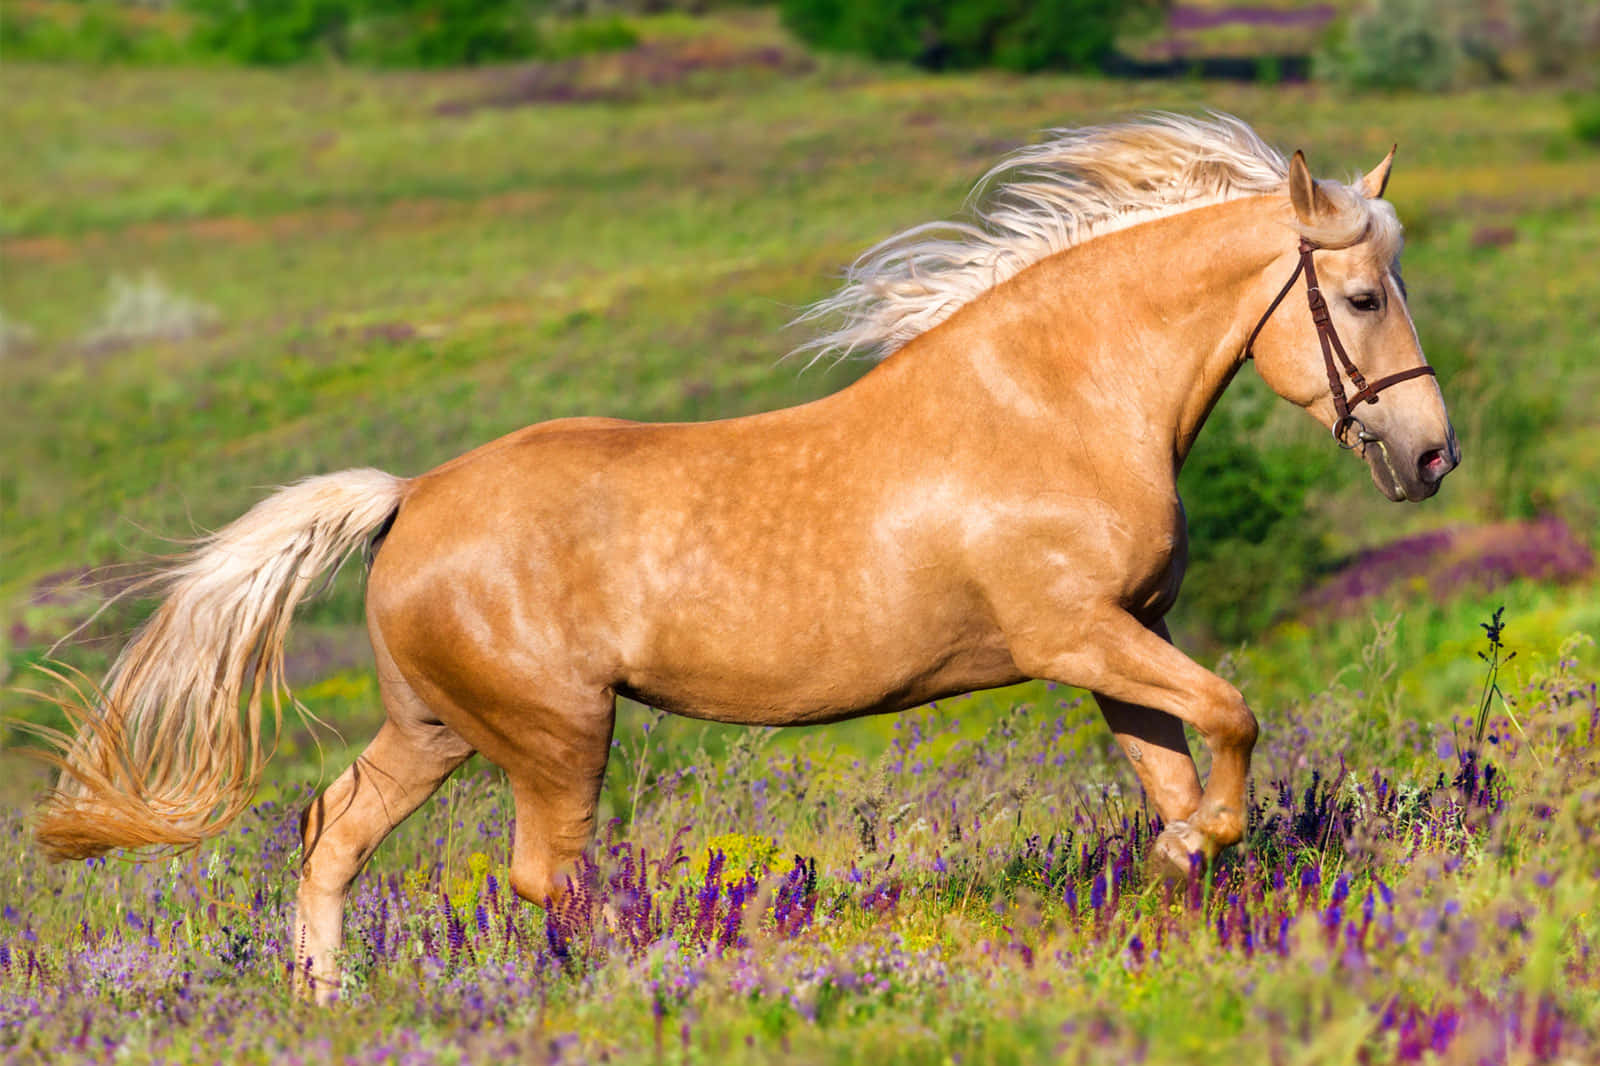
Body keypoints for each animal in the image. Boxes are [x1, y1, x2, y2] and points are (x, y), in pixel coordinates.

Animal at [28, 114, 1457, 1002]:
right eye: (1362, 296)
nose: (1430, 455)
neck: (1056, 402)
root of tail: (410, 498)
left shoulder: (1120, 644)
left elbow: (1178, 769)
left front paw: (1173, 890)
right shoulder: (1075, 636)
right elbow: (1231, 720)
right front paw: (1193, 857)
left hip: (435, 726)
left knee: (331, 834)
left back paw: (330, 1002)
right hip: (556, 730)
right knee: (546, 873)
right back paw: (625, 986)